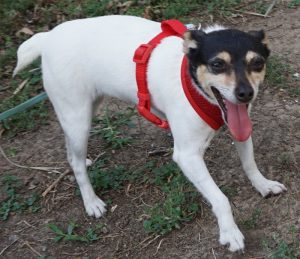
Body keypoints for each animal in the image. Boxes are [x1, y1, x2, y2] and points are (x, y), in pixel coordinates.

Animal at [13, 15, 286, 253]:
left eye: (257, 63)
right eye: (217, 64)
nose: (246, 93)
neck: (196, 85)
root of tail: (48, 38)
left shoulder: (240, 126)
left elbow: (249, 163)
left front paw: (263, 184)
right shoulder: (187, 156)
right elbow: (220, 199)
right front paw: (230, 232)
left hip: (88, 109)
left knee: (72, 154)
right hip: (77, 119)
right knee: (76, 164)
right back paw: (91, 202)